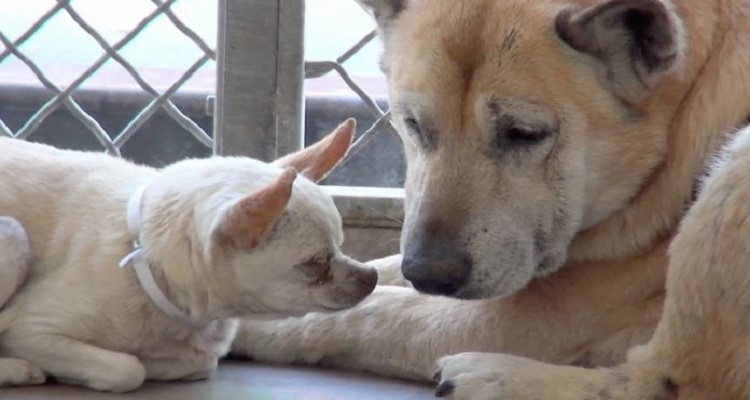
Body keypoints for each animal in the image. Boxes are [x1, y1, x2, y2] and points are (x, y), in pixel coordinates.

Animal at [0, 119, 376, 394]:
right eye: (314, 265)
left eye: (341, 245)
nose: (371, 276)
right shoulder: (31, 332)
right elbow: (128, 368)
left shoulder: (201, 353)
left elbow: (195, 362)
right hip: (12, 236)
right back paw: (17, 369)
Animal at [234, 0, 750, 398]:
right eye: (413, 124)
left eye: (524, 133)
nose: (428, 274)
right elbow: (377, 272)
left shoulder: (526, 321)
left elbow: (377, 312)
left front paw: (258, 317)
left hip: (738, 165)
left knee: (672, 383)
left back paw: (491, 377)